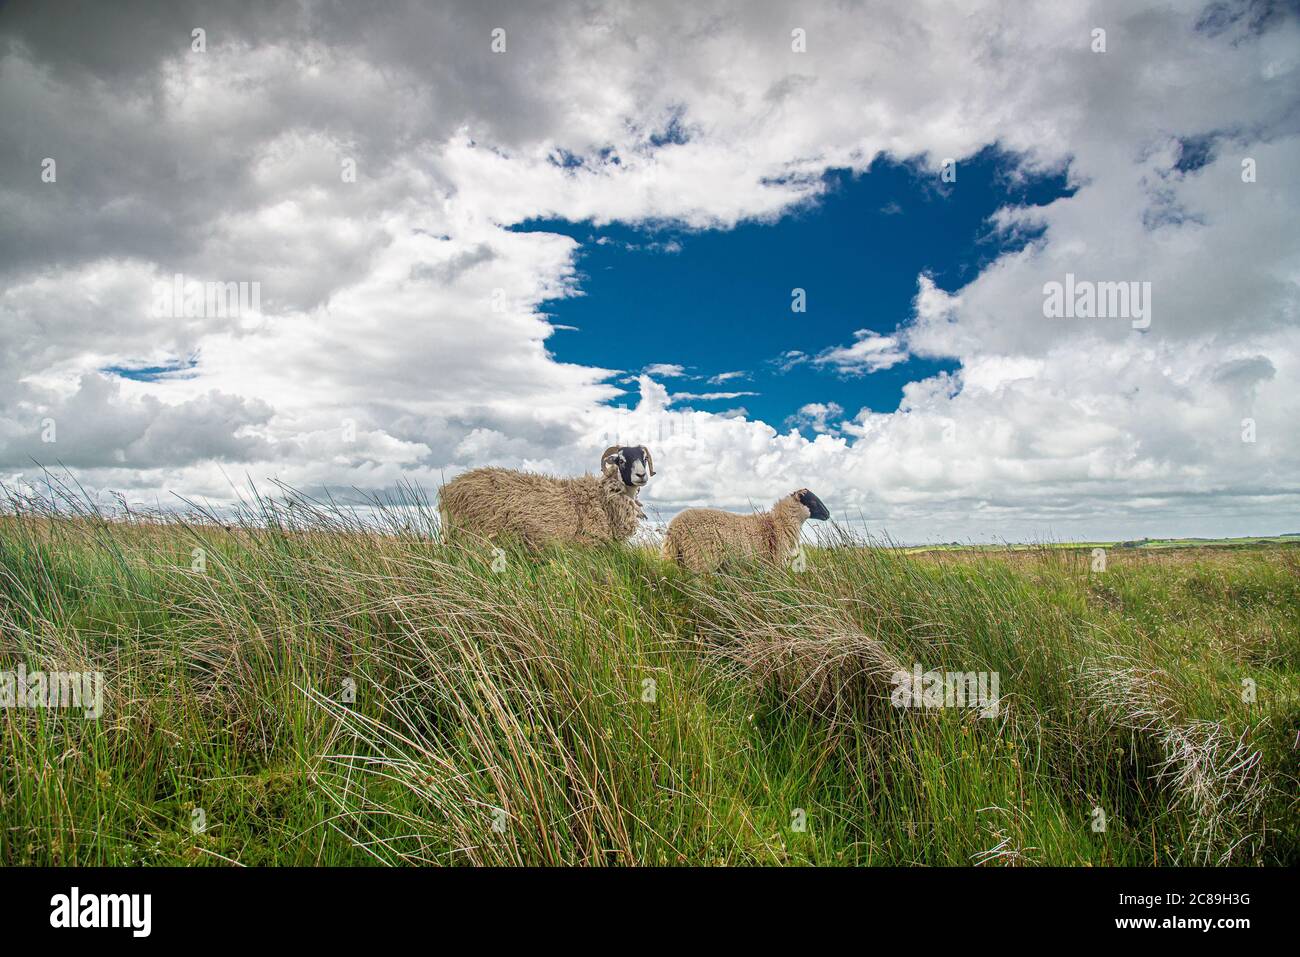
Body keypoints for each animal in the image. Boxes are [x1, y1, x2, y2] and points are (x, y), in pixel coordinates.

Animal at [660, 488, 832, 572]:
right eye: (812, 501)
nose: (828, 514)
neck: (777, 523)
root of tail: (674, 527)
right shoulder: (775, 561)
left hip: (682, 559)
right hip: (700, 559)